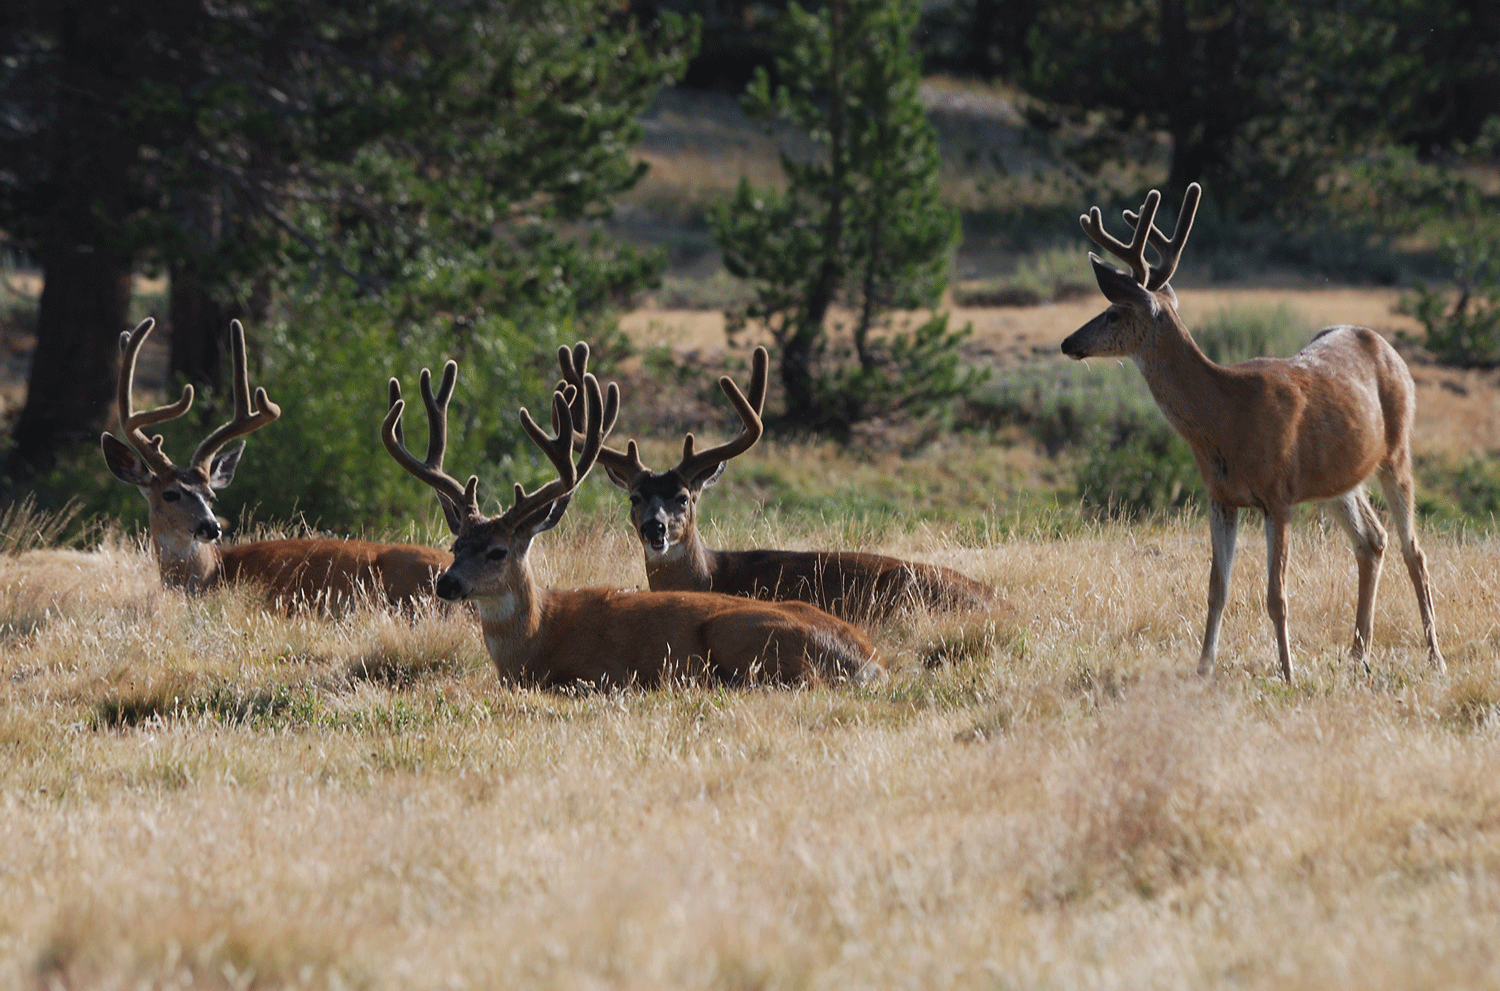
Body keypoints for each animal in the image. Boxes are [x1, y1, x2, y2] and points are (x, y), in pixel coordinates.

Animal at [381, 357, 882, 688]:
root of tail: (868, 659)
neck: (537, 638)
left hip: (739, 631)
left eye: (497, 550)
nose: (446, 583)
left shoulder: (590, 673)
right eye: (455, 546)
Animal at [1061, 182, 1444, 681]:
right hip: (1337, 479)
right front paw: (1203, 668)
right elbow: (1216, 588)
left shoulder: (1277, 495)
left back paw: (1434, 656)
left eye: (1111, 312)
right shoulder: (1221, 496)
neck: (1225, 416)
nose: (1068, 342)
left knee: (1412, 550)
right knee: (1371, 540)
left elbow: (1276, 595)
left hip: (1397, 450)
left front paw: (1288, 671)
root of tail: (1386, 346)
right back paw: (1358, 653)